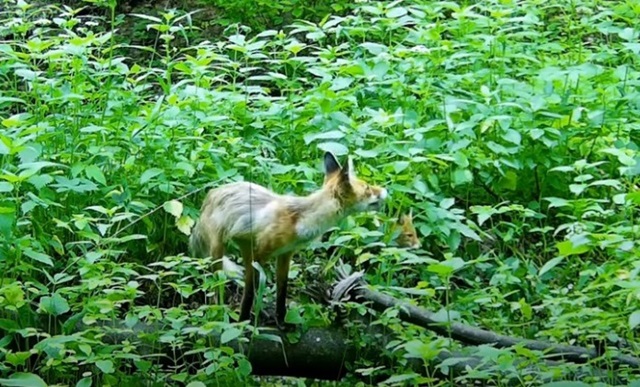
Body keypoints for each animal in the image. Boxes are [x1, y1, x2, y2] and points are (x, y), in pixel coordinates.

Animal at [190, 152, 388, 330]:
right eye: (368, 188)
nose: (385, 190)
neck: (300, 220)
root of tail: (211, 193)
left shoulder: (285, 254)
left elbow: (282, 290)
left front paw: (282, 322)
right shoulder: (260, 255)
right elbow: (250, 293)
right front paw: (243, 324)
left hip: (245, 246)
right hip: (217, 252)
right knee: (215, 284)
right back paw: (217, 311)